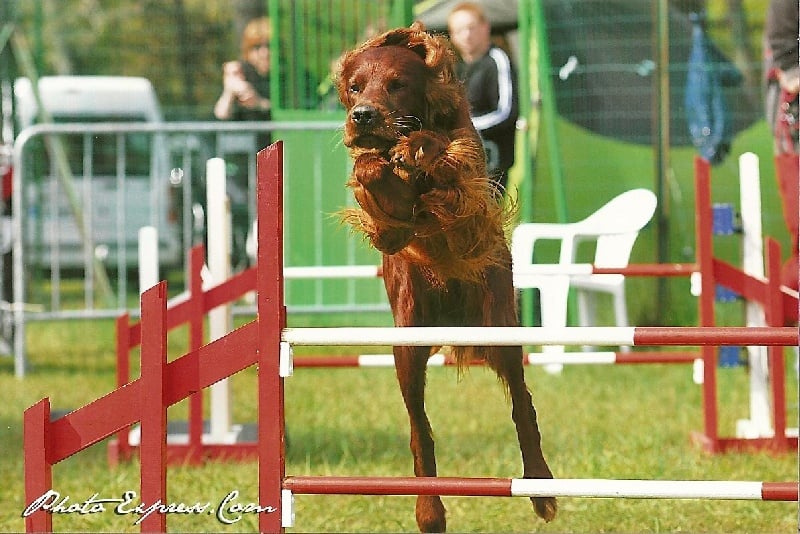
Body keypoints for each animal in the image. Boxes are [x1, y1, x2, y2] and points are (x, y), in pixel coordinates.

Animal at [334, 23, 552, 532]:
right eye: (355, 86)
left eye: (397, 84)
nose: (363, 116)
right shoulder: (391, 226)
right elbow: (375, 180)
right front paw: (382, 166)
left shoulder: (467, 186)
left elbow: (444, 159)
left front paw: (417, 149)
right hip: (407, 347)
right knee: (421, 431)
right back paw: (429, 509)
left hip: (499, 328)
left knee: (522, 407)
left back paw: (541, 489)